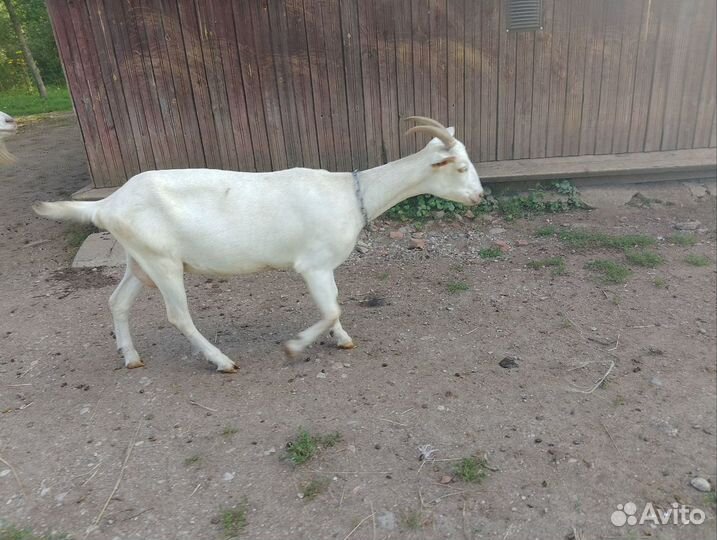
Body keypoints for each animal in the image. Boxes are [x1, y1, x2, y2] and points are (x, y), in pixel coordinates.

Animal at [33, 117, 483, 373]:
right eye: (460, 167)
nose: (479, 196)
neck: (348, 194)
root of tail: (107, 204)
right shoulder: (313, 264)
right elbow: (331, 306)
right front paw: (295, 346)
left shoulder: (324, 268)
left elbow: (335, 305)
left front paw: (342, 338)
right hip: (163, 262)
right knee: (179, 316)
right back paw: (222, 361)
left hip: (138, 260)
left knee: (118, 302)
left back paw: (129, 356)